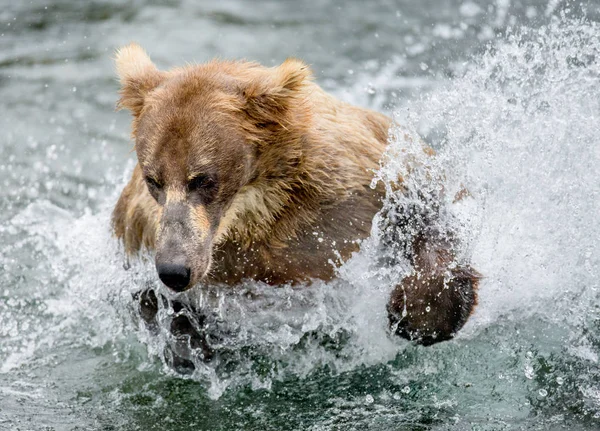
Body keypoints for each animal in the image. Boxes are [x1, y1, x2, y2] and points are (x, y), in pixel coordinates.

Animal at [111, 43, 478, 348]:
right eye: (153, 179)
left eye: (202, 179)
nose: (174, 269)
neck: (254, 209)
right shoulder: (143, 228)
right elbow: (144, 296)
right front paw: (188, 339)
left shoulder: (355, 185)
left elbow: (425, 213)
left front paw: (418, 314)